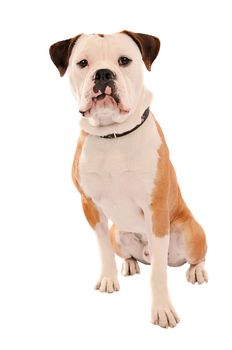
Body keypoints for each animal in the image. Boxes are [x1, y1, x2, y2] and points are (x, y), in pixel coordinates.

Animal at [49, 30, 208, 328]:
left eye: (124, 60)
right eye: (83, 63)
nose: (103, 74)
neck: (113, 135)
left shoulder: (155, 208)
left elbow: (158, 273)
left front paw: (162, 309)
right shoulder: (90, 205)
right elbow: (102, 249)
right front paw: (109, 279)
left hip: (191, 233)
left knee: (196, 256)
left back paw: (197, 272)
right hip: (118, 233)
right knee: (127, 252)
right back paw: (130, 263)